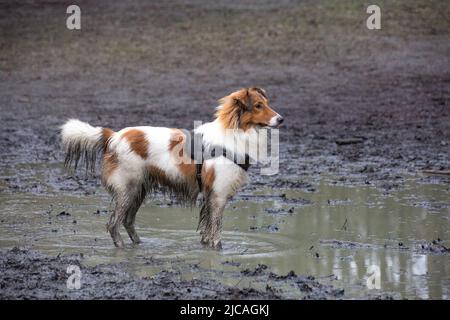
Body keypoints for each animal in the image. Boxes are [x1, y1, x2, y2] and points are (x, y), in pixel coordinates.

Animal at [61, 88, 284, 250]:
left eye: (267, 104)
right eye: (258, 106)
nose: (281, 119)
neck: (236, 133)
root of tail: (114, 136)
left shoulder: (210, 196)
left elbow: (206, 231)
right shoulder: (218, 196)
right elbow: (216, 232)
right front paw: (217, 252)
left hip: (139, 190)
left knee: (128, 221)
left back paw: (139, 245)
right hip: (127, 189)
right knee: (114, 223)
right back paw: (122, 248)